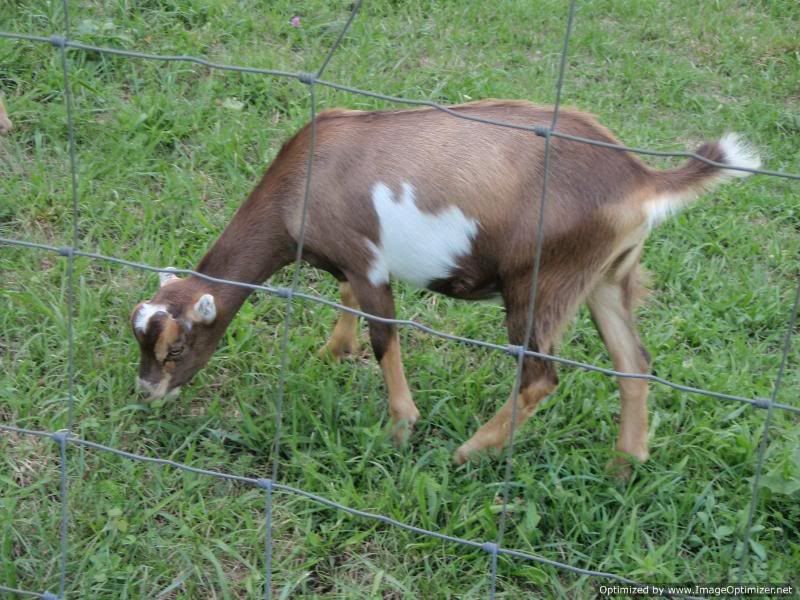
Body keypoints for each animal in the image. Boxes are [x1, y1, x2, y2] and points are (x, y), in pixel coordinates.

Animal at [130, 100, 760, 471]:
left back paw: (468, 451)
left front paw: (400, 428)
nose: (147, 395)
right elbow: (347, 300)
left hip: (539, 283)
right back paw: (625, 465)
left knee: (540, 377)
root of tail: (639, 178)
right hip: (606, 277)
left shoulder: (368, 262)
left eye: (176, 349)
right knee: (634, 364)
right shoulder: (357, 263)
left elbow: (385, 335)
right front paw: (332, 352)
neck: (303, 181)